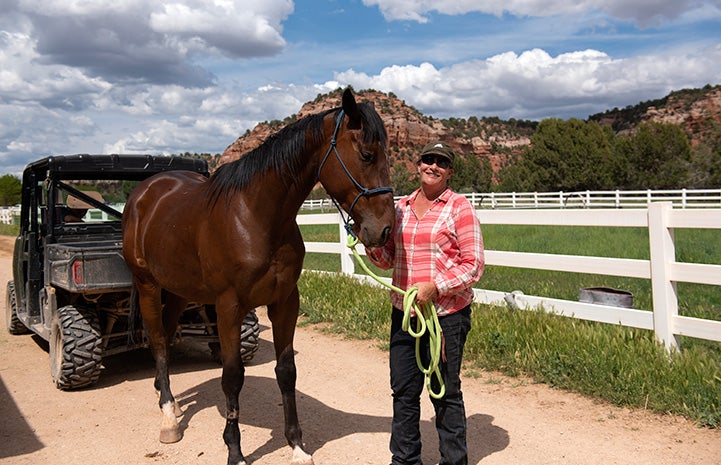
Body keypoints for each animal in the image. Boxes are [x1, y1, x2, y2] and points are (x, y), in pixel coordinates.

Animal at [122, 88, 394, 464]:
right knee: (159, 341)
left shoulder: (285, 302)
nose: (384, 231)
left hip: (178, 291)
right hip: (147, 284)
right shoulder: (229, 307)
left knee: (167, 331)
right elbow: (233, 376)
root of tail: (143, 193)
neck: (254, 215)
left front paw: (297, 445)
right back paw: (168, 418)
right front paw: (234, 450)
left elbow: (286, 371)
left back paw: (173, 403)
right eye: (367, 154)